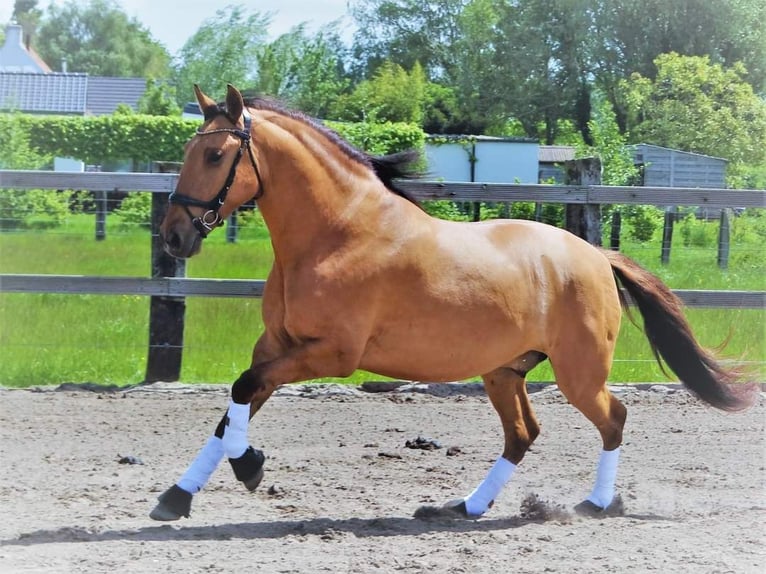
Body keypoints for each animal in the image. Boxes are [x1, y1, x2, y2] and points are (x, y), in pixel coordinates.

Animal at [148, 84, 756, 520]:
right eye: (188, 150)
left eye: (215, 154)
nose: (173, 236)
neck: (337, 234)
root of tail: (596, 255)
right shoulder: (276, 345)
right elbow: (234, 406)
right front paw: (176, 497)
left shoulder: (332, 354)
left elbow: (242, 390)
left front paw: (249, 467)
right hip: (504, 371)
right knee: (523, 435)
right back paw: (465, 506)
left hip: (578, 372)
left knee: (613, 418)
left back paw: (595, 504)